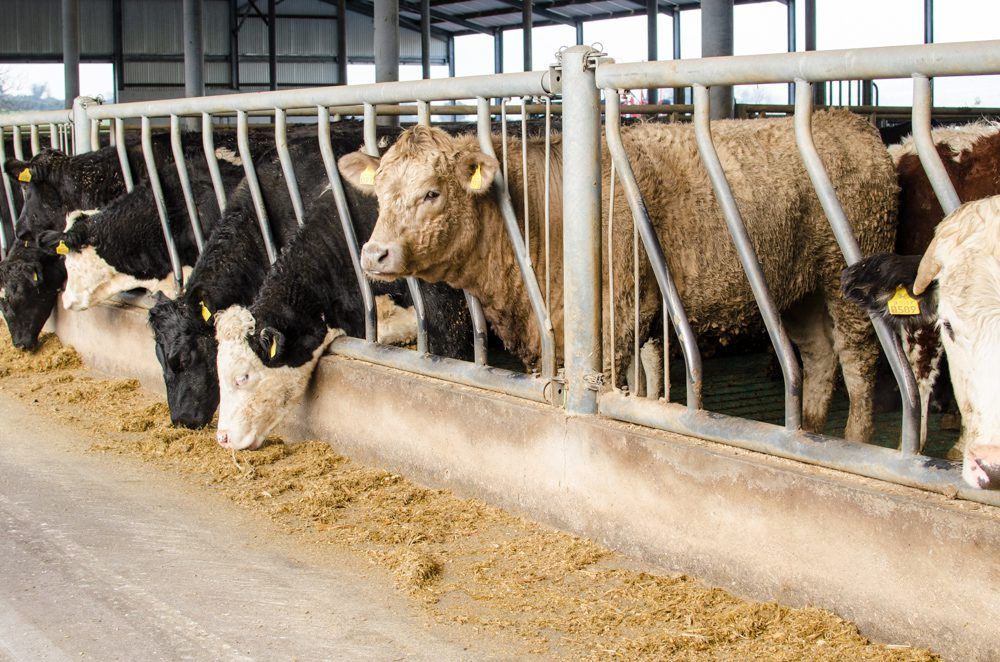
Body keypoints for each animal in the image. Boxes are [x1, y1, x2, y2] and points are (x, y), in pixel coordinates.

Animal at [340, 111, 899, 443]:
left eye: (432, 192)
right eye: (380, 191)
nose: (374, 253)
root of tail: (849, 121)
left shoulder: (618, 313)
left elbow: (614, 385)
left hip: (847, 280)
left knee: (859, 360)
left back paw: (854, 440)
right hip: (799, 291)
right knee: (820, 356)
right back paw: (809, 430)